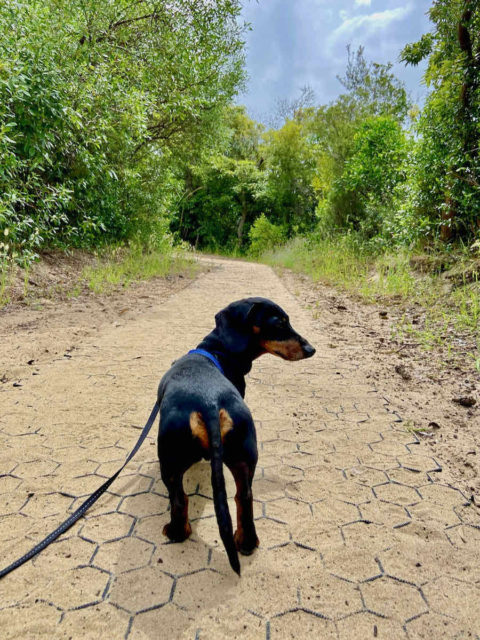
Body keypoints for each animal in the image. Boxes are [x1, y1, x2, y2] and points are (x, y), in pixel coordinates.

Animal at [158, 298, 316, 572]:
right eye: (279, 323)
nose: (311, 349)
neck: (215, 352)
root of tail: (209, 402)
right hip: (244, 457)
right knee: (244, 498)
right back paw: (246, 542)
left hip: (168, 462)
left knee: (179, 499)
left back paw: (176, 532)